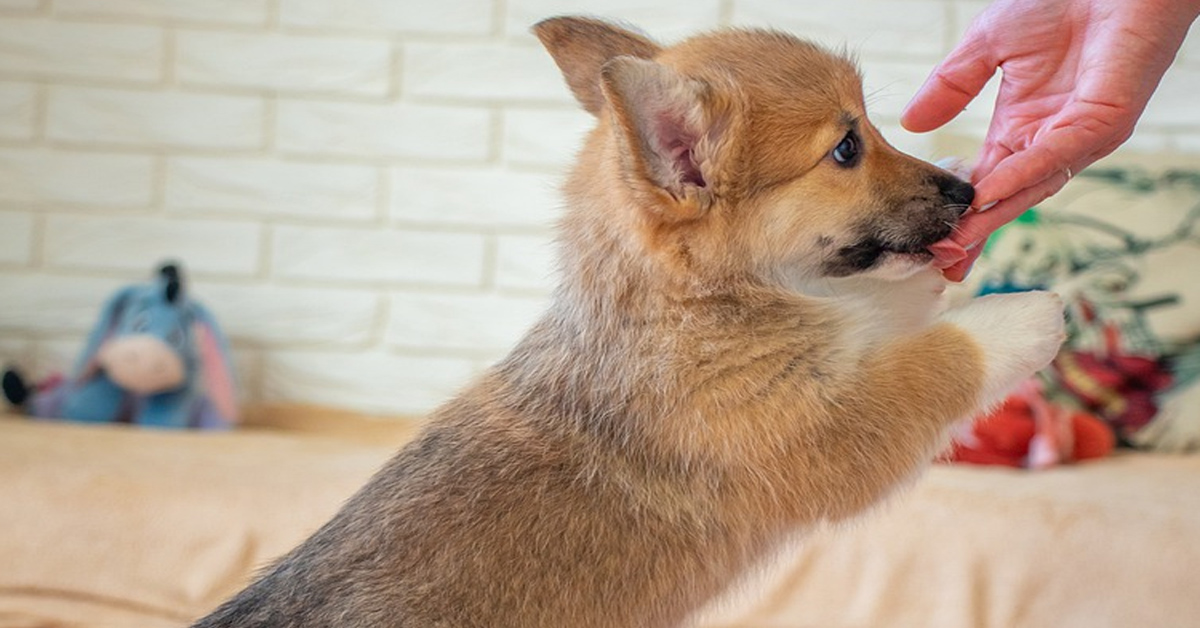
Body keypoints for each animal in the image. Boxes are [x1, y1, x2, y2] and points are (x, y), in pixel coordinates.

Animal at [192, 17, 1065, 624]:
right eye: (847, 148)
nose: (967, 193)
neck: (693, 305)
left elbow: (889, 307)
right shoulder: (830, 429)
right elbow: (939, 361)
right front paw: (1027, 314)